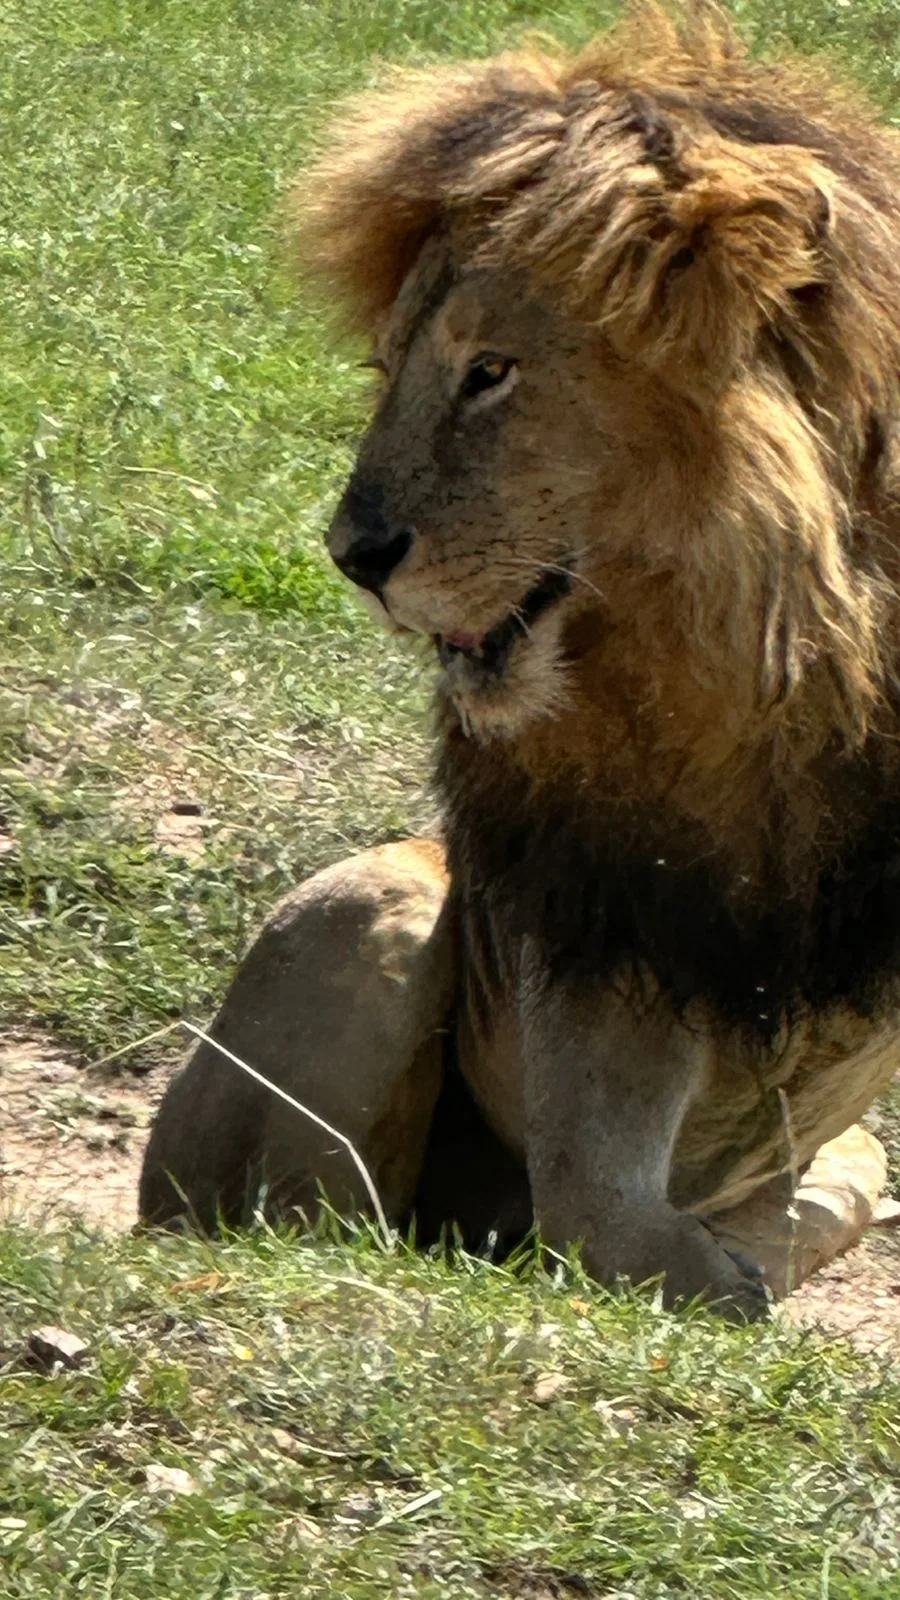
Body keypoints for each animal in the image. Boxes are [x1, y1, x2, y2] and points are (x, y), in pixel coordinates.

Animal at [140, 4, 900, 1318]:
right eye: (388, 370)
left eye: (490, 372)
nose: (351, 555)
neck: (785, 656)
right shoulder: (605, 913)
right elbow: (596, 1200)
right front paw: (709, 1281)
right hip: (373, 909)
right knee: (314, 1219)